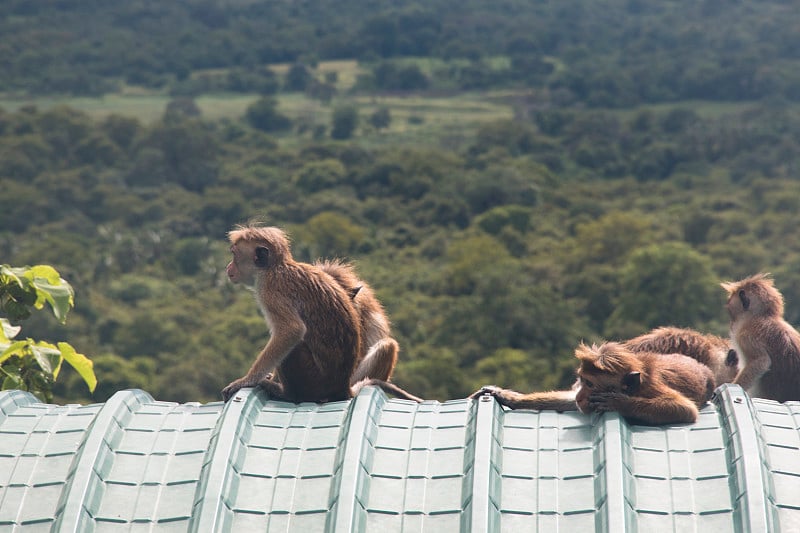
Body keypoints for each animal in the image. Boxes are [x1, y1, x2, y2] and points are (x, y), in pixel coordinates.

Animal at [217, 224, 418, 404]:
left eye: (234, 255)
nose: (228, 267)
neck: (274, 268)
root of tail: (343, 387)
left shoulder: (271, 291)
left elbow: (291, 331)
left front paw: (246, 380)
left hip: (314, 380)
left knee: (296, 343)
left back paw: (287, 394)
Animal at [468, 340, 712, 424]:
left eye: (591, 384)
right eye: (582, 381)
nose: (580, 395)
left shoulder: (651, 388)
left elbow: (684, 409)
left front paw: (618, 403)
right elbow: (567, 402)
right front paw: (505, 396)